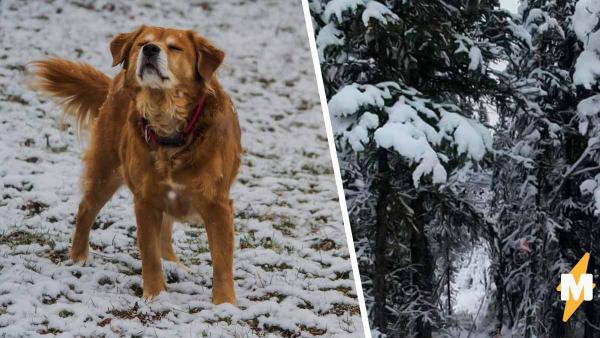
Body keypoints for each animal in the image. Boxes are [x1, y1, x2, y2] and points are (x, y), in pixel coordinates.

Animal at [29, 25, 241, 302]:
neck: (168, 127)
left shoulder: (217, 205)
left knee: (166, 229)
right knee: (86, 209)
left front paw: (225, 304)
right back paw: (78, 257)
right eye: (142, 43)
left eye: (175, 47)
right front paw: (155, 296)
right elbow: (149, 255)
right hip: (106, 170)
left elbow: (222, 262)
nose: (150, 49)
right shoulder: (146, 200)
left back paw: (172, 263)